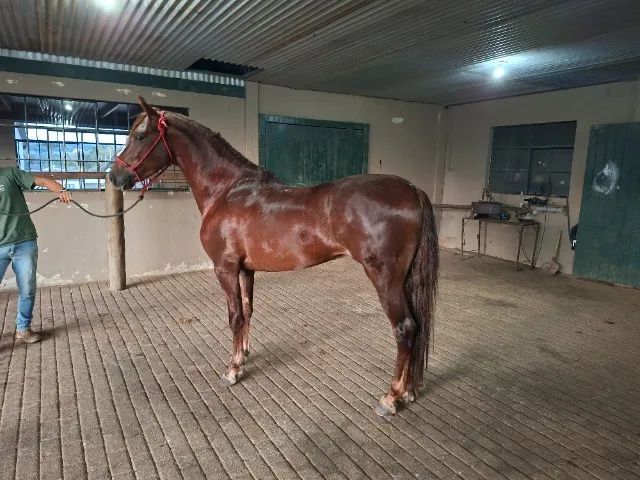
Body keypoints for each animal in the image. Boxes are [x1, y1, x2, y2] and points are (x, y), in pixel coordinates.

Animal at [109, 96, 439, 416]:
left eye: (139, 135)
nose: (115, 176)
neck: (227, 191)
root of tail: (411, 189)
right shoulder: (245, 269)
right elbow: (246, 311)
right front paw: (243, 356)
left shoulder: (225, 268)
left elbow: (234, 316)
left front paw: (232, 371)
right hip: (405, 279)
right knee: (417, 326)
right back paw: (409, 391)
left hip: (385, 277)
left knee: (405, 328)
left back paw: (390, 398)